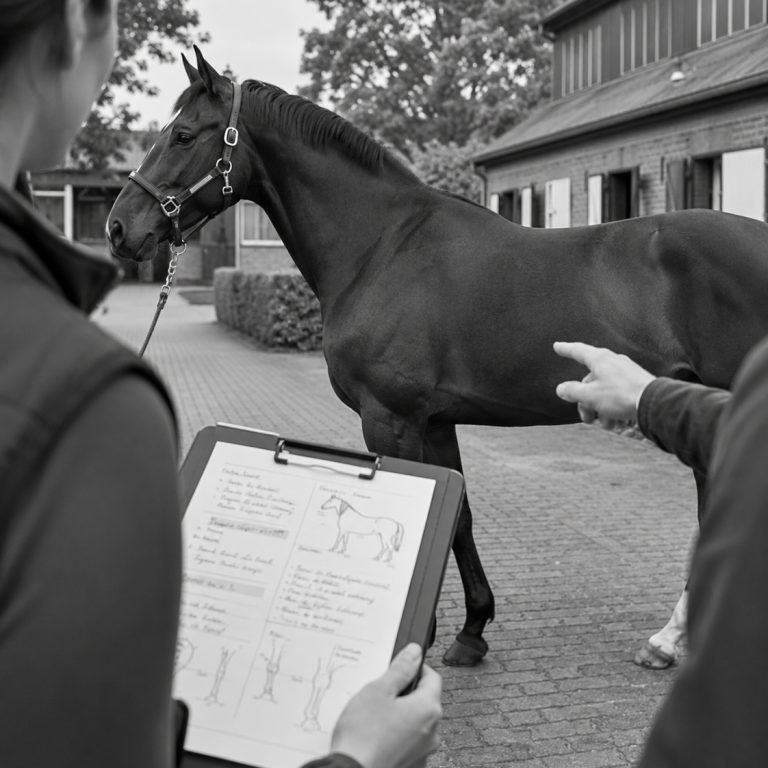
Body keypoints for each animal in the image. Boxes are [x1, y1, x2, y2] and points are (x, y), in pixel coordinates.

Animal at [107, 47, 768, 667]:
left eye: (183, 134)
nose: (119, 229)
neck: (381, 247)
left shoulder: (389, 418)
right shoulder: (435, 421)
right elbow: (459, 514)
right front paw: (472, 631)